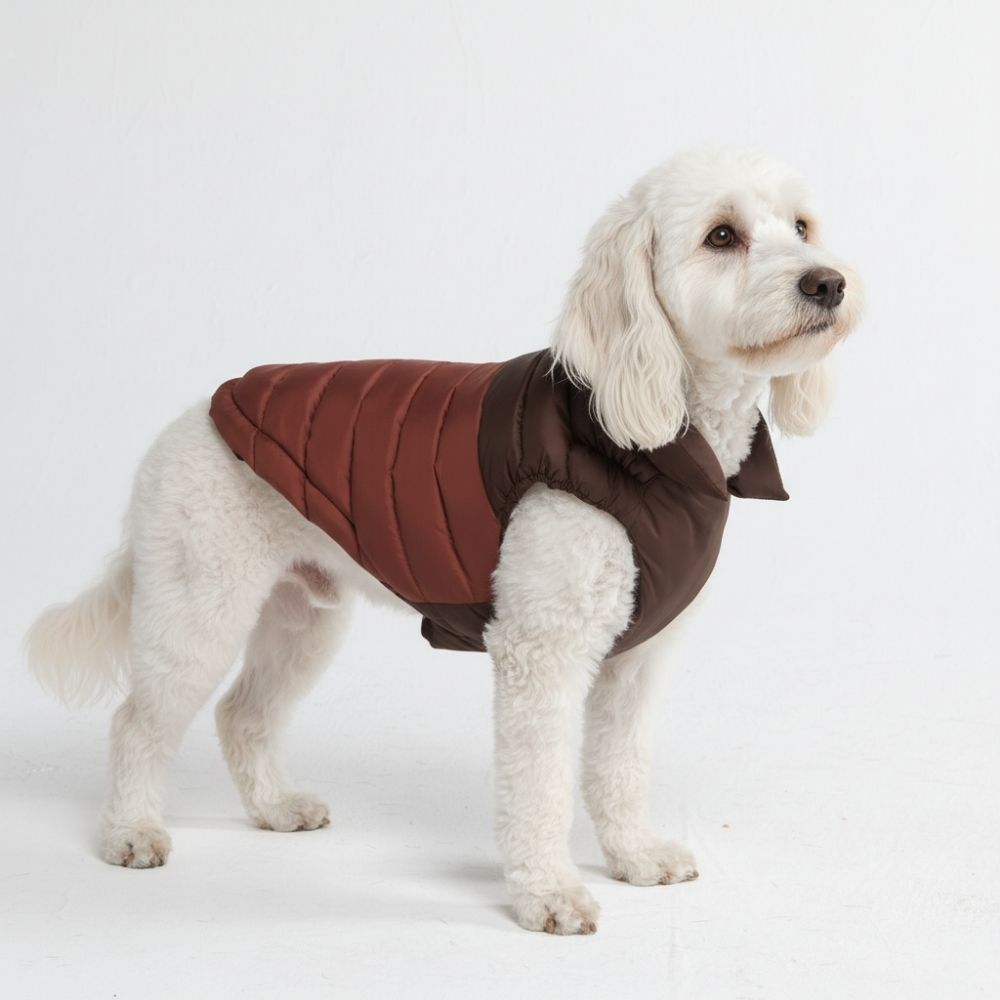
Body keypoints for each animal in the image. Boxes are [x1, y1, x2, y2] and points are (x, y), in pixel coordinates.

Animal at [26, 145, 862, 935]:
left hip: (302, 620)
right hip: (197, 608)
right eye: (721, 236)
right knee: (138, 721)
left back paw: (273, 809)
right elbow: (540, 787)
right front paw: (549, 893)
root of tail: (192, 416)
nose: (828, 283)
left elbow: (619, 767)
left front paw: (632, 855)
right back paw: (131, 831)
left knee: (243, 715)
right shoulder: (540, 653)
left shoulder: (636, 659)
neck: (650, 438)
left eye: (801, 227)